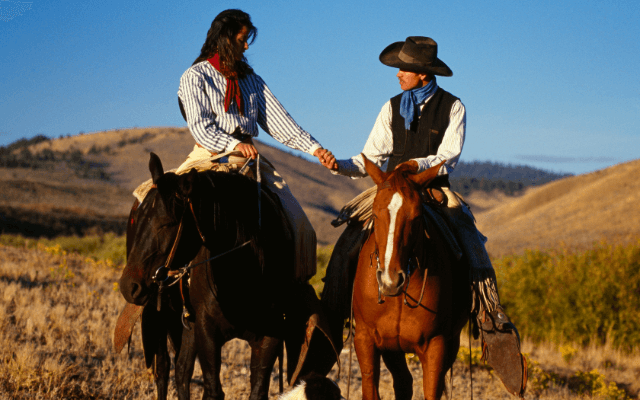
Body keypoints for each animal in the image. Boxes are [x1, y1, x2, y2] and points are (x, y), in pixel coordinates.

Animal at [119, 154, 332, 400]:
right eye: (139, 219)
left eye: (168, 223)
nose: (129, 286)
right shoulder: (207, 332)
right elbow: (212, 390)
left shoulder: (270, 338)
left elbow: (257, 390)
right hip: (158, 312)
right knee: (163, 369)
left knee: (182, 372)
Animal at [352, 156, 472, 400]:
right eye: (375, 214)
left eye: (416, 217)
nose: (390, 281)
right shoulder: (365, 339)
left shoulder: (436, 345)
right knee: (403, 383)